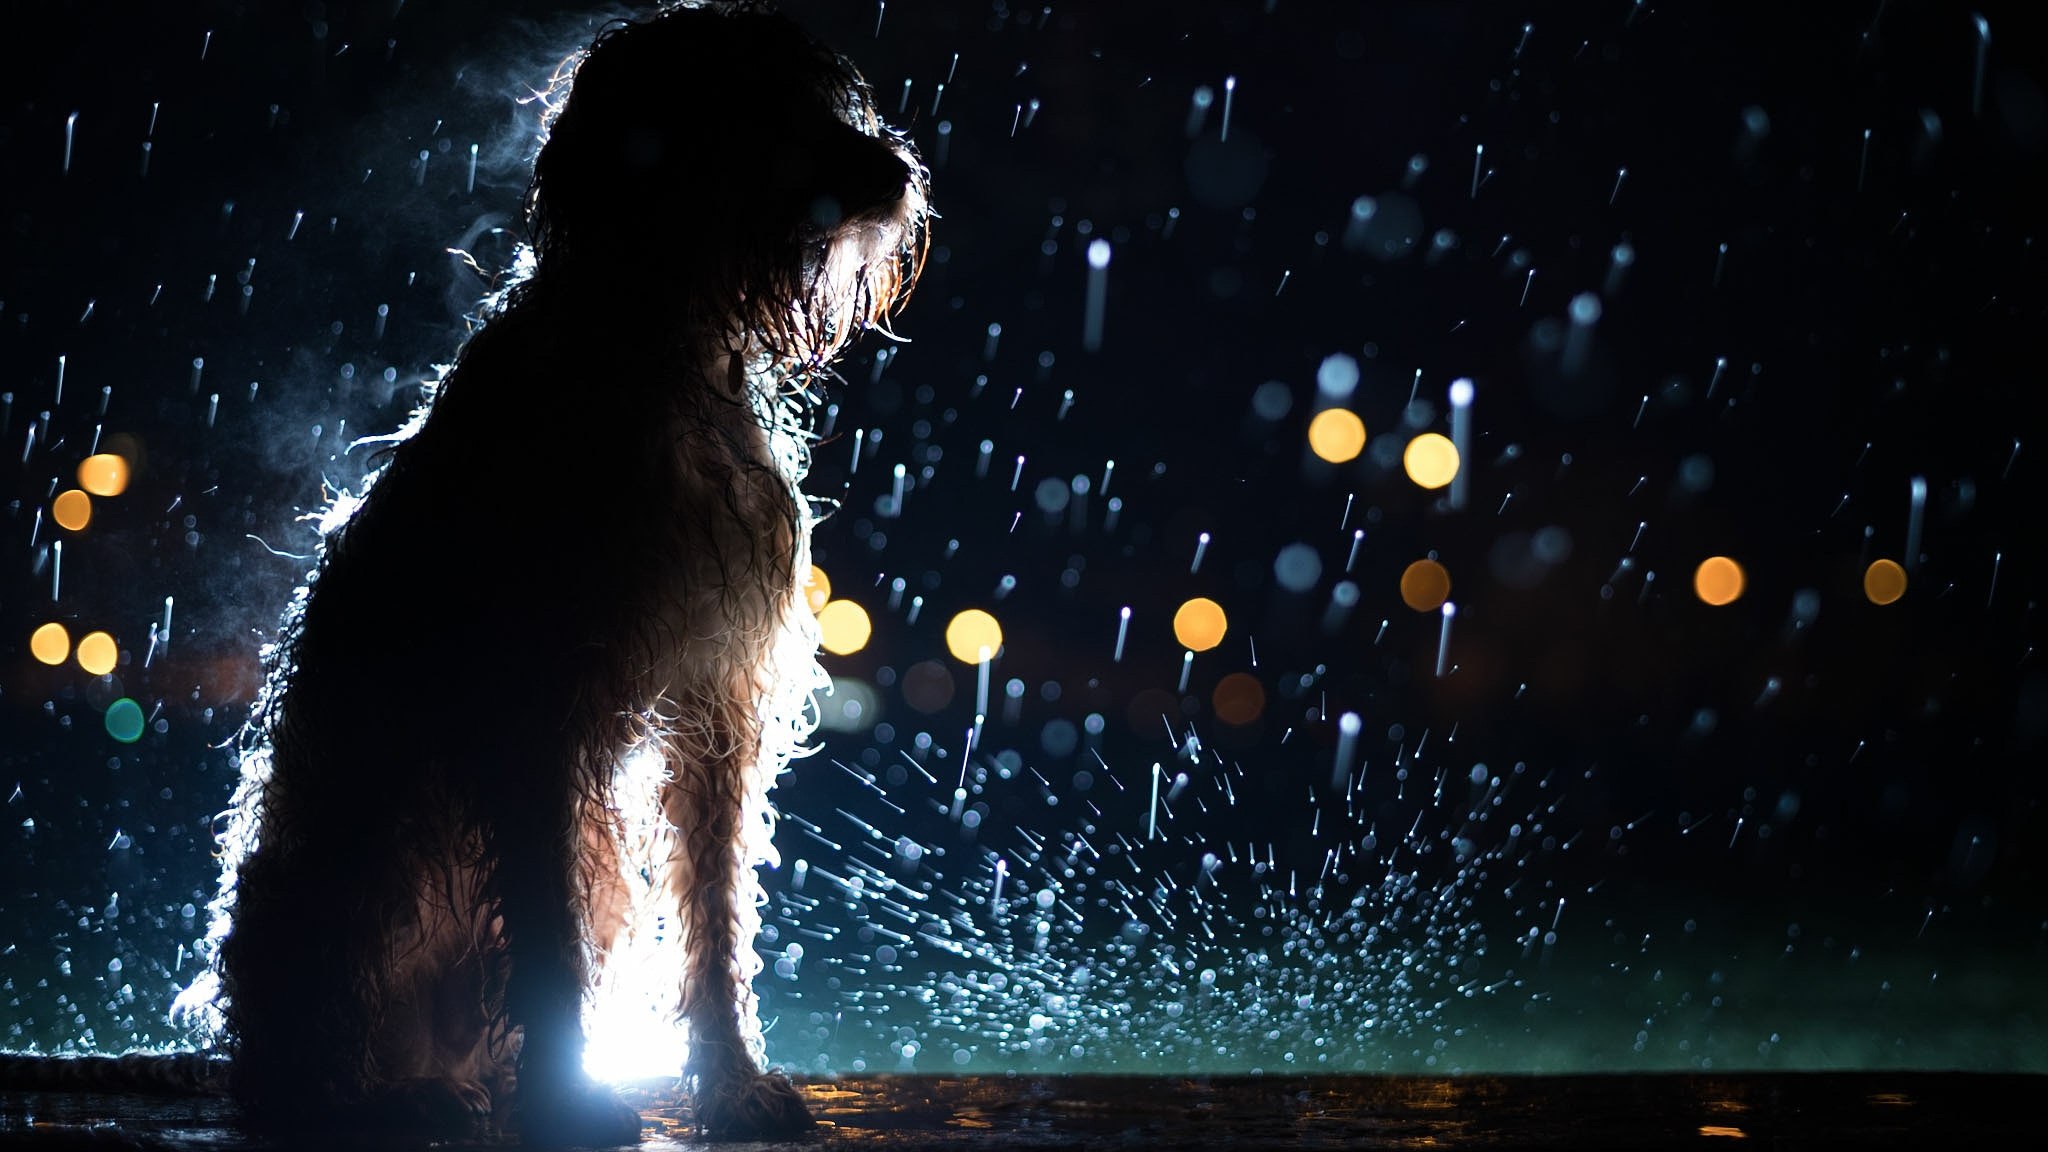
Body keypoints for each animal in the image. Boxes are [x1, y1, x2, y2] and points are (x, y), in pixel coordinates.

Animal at [176, 4, 929, 1139]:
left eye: (830, 100)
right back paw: (389, 1095)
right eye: (765, 105)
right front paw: (568, 1101)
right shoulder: (534, 710)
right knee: (308, 1059)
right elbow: (544, 930)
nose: (894, 171)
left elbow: (713, 914)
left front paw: (732, 1081)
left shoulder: (715, 705)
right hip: (371, 857)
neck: (658, 354)